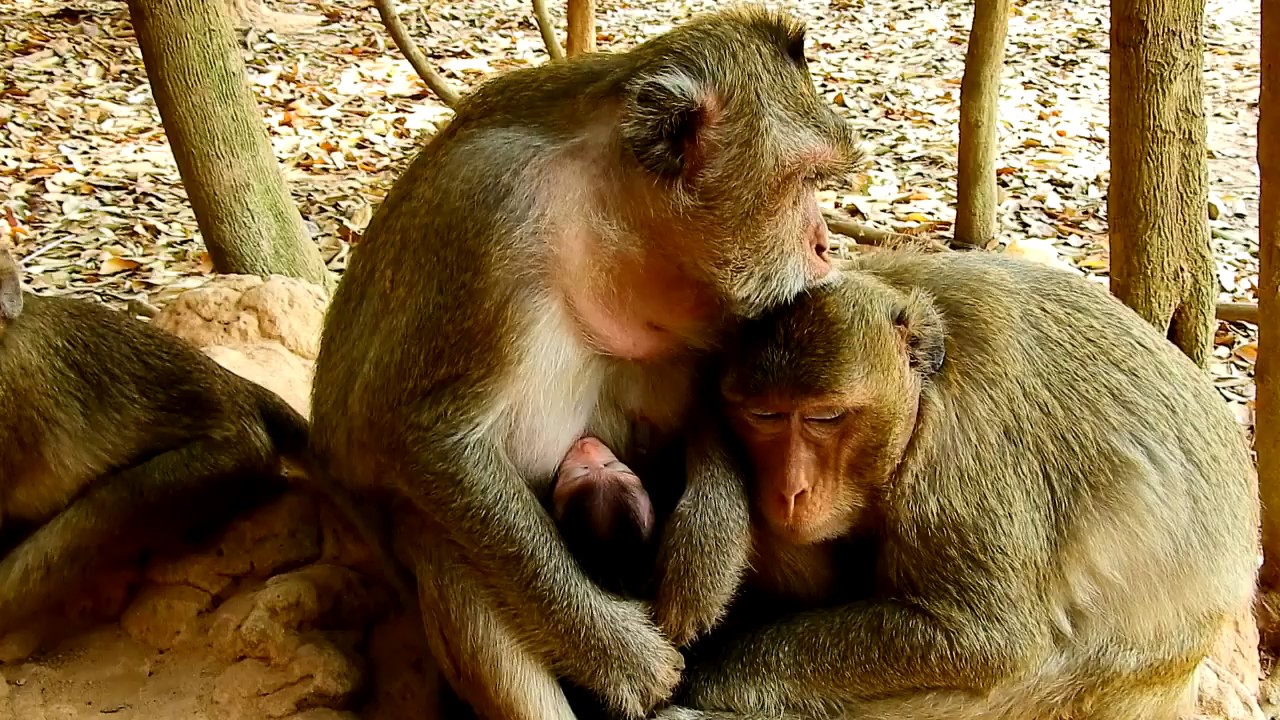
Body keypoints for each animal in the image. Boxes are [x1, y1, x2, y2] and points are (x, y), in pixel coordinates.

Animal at [307, 5, 862, 719]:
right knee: (445, 549)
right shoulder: (489, 218)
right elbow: (424, 437)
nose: (824, 246)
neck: (609, 216)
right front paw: (624, 657)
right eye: (802, 182)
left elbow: (714, 402)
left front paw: (702, 562)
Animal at [651, 251, 1260, 720]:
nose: (789, 489)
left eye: (825, 418)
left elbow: (983, 640)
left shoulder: (963, 457)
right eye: (763, 417)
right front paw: (709, 537)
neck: (925, 391)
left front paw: (717, 673)